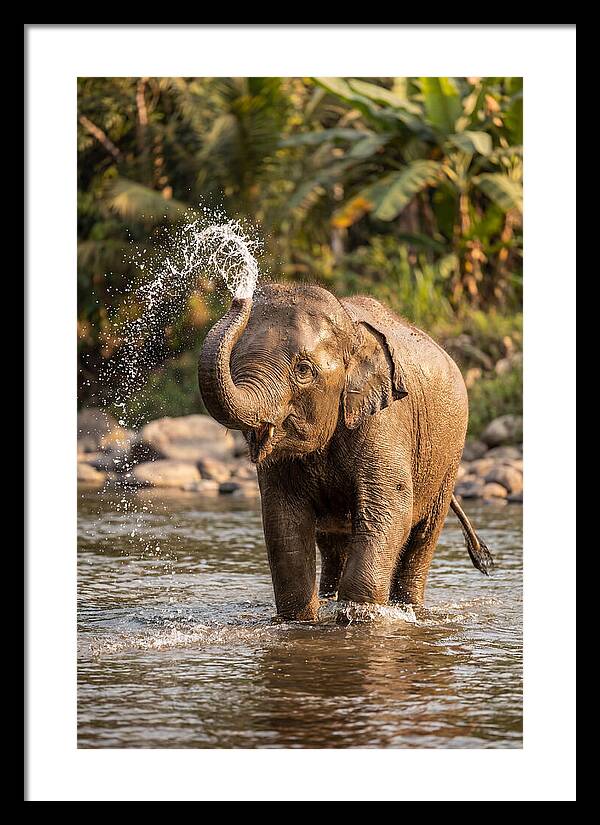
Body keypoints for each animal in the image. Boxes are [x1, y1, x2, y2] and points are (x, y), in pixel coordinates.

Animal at [198, 282, 493, 622]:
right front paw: (302, 620)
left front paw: (359, 617)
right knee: (332, 542)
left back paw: (409, 608)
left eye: (303, 370)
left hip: (449, 458)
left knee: (423, 536)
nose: (239, 296)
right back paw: (330, 598)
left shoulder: (385, 421)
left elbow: (390, 508)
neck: (352, 332)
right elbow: (283, 519)